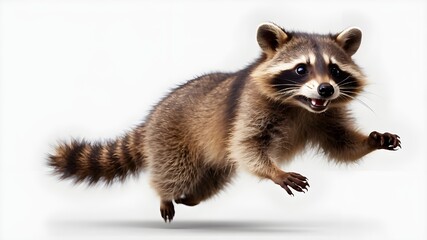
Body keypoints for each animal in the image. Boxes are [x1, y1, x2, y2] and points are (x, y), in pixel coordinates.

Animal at [49, 22, 402, 221]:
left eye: (335, 70)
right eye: (301, 69)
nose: (326, 89)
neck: (301, 106)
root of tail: (155, 114)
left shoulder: (325, 115)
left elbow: (342, 144)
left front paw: (372, 140)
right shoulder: (250, 109)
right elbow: (247, 145)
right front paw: (275, 171)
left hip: (213, 164)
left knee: (211, 179)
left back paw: (191, 197)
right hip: (171, 140)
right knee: (175, 171)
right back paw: (165, 193)